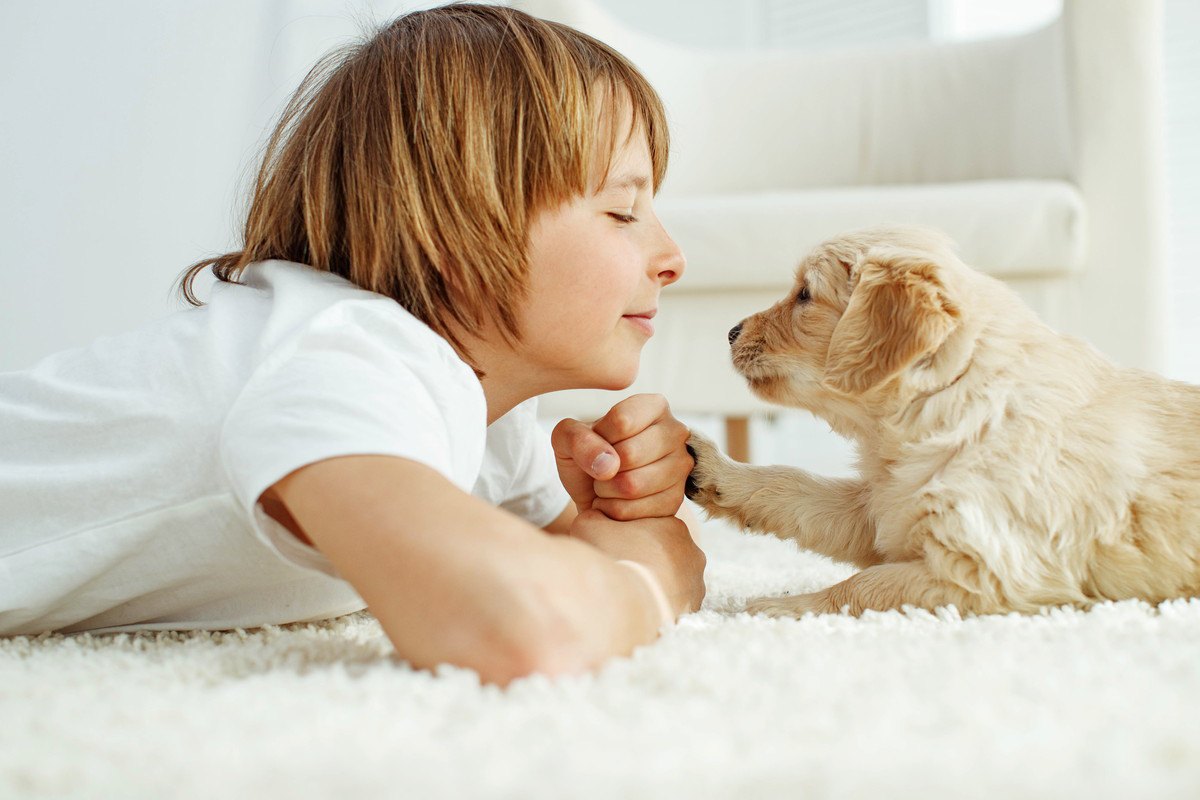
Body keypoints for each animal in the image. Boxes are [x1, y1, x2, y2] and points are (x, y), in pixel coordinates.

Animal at [686, 225, 1200, 618]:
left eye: (805, 295)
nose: (729, 332)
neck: (951, 401)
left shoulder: (987, 571)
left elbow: (865, 585)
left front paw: (786, 605)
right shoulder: (882, 508)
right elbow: (795, 487)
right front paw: (718, 470)